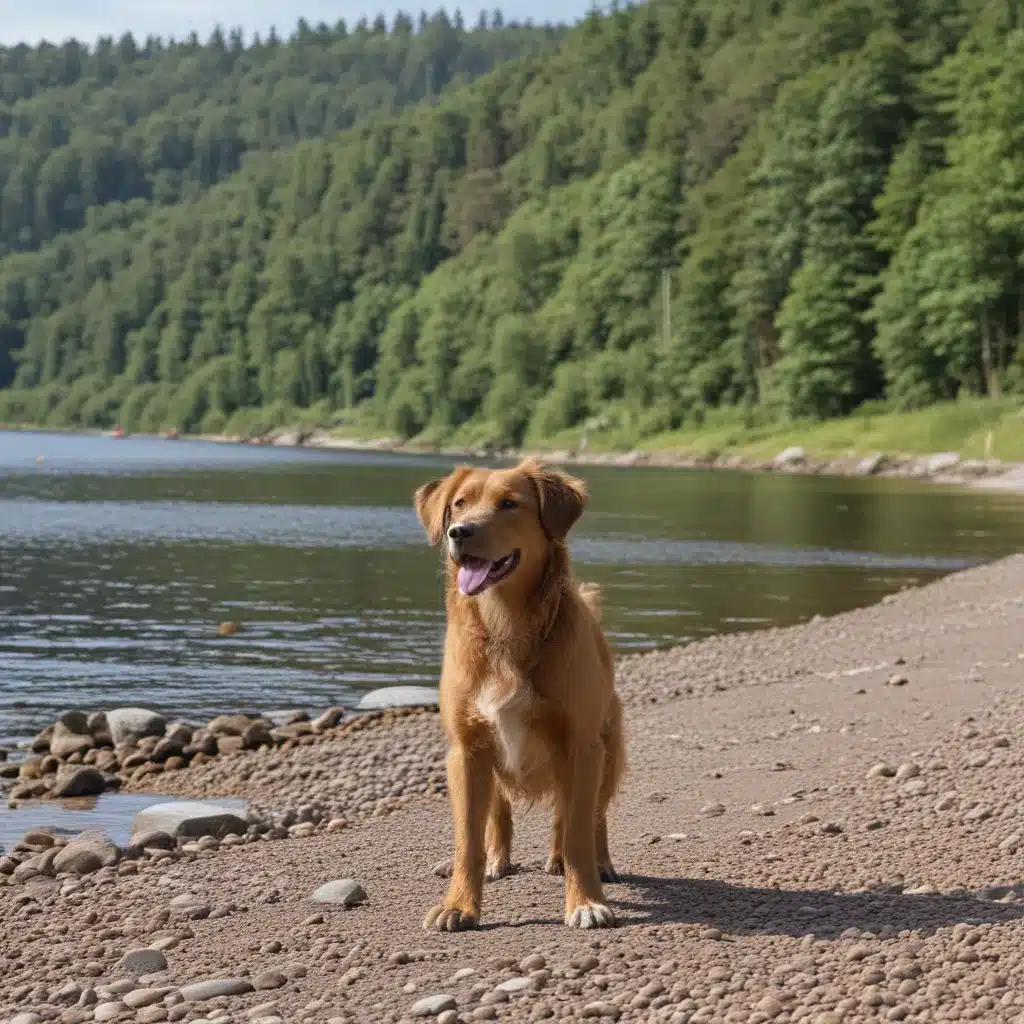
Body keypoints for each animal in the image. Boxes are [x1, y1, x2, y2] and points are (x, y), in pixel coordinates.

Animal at [409, 460, 622, 933]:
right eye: (459, 504)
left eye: (509, 504)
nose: (460, 532)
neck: (505, 624)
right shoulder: (467, 750)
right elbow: (468, 840)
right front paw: (460, 905)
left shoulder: (581, 747)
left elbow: (578, 831)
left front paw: (585, 900)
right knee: (501, 812)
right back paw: (498, 860)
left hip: (610, 751)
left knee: (591, 817)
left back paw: (596, 863)